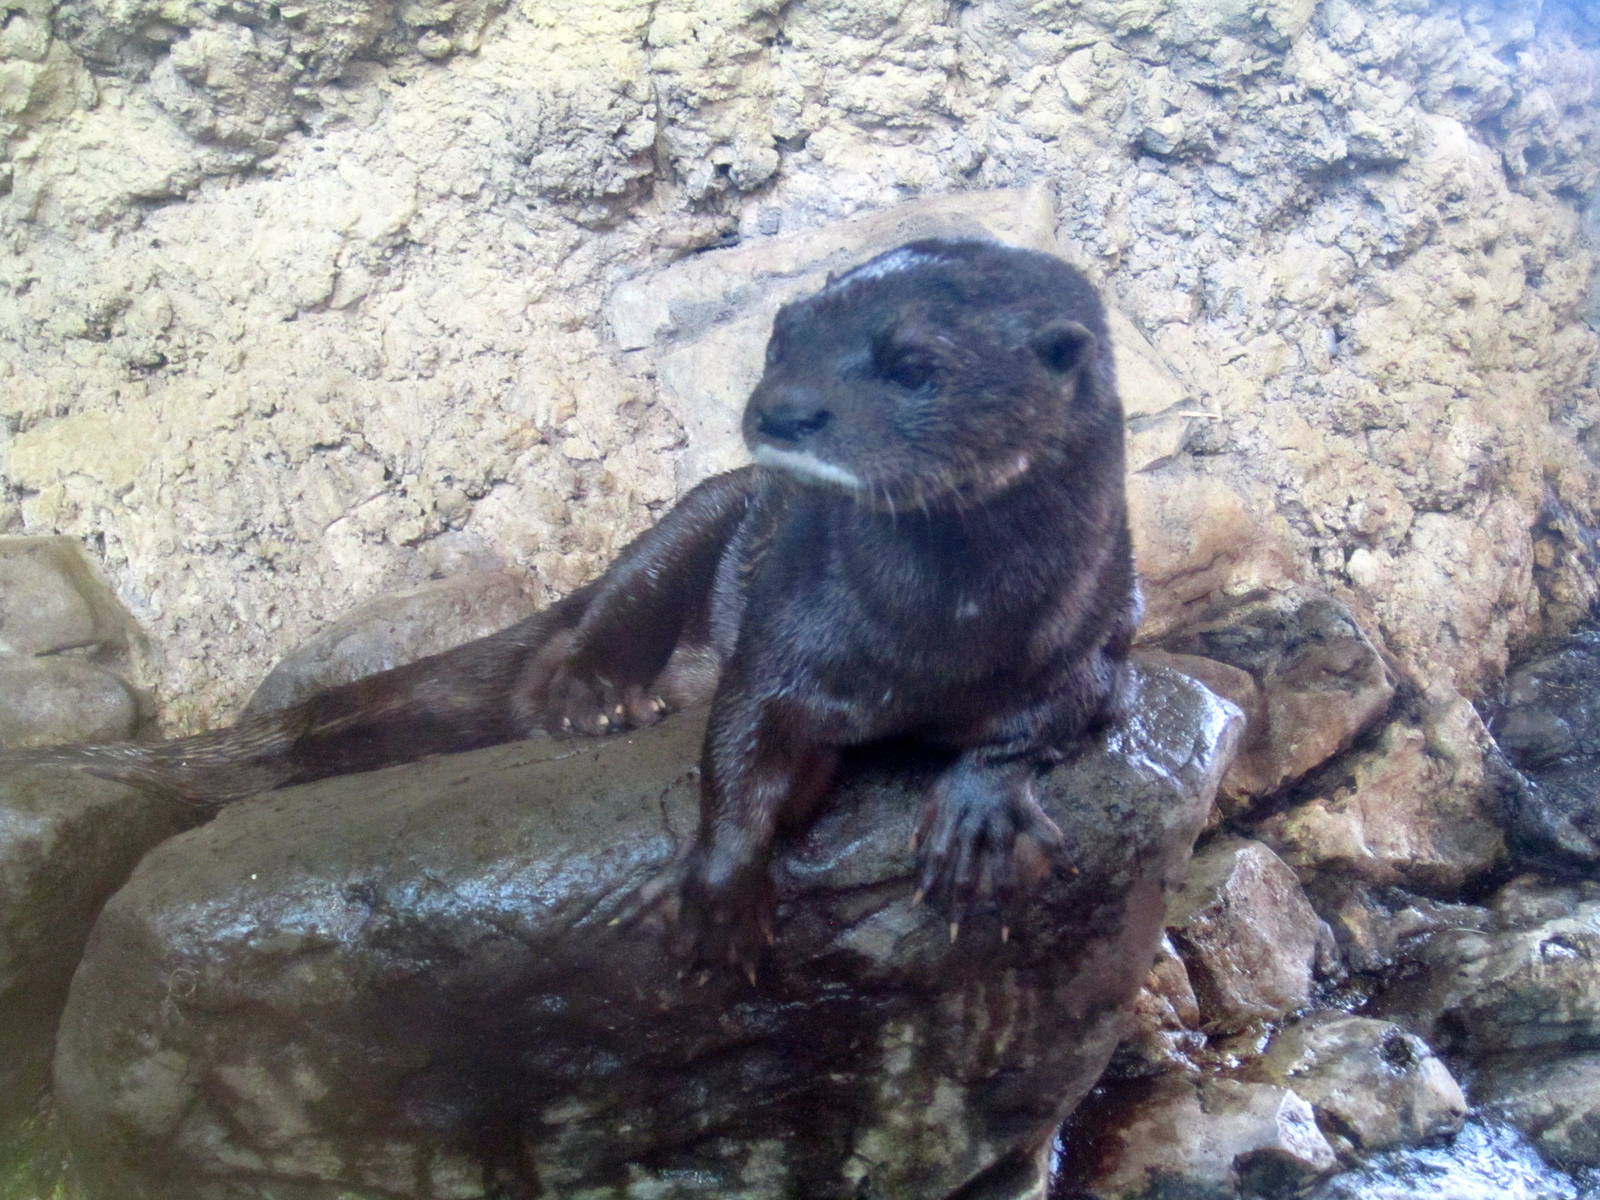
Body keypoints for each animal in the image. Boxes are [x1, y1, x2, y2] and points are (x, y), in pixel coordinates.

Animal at [5, 239, 1138, 976]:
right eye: (780, 339)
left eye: (912, 365)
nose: (781, 406)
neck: (940, 631)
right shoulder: (790, 633)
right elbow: (745, 737)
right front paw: (715, 892)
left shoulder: (1094, 627)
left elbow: (1066, 712)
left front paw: (982, 813)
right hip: (695, 524)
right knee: (591, 626)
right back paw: (600, 698)